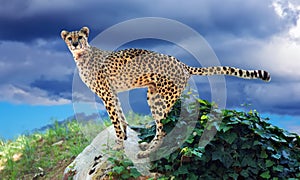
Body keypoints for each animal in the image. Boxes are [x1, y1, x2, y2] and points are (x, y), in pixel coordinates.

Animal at [61, 26, 272, 158]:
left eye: (80, 37)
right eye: (70, 38)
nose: (75, 44)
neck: (82, 56)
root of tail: (182, 63)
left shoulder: (106, 95)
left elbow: (115, 121)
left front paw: (119, 145)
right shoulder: (112, 93)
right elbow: (121, 116)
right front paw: (126, 136)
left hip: (161, 99)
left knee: (162, 130)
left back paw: (148, 152)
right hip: (154, 94)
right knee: (161, 128)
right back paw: (147, 146)